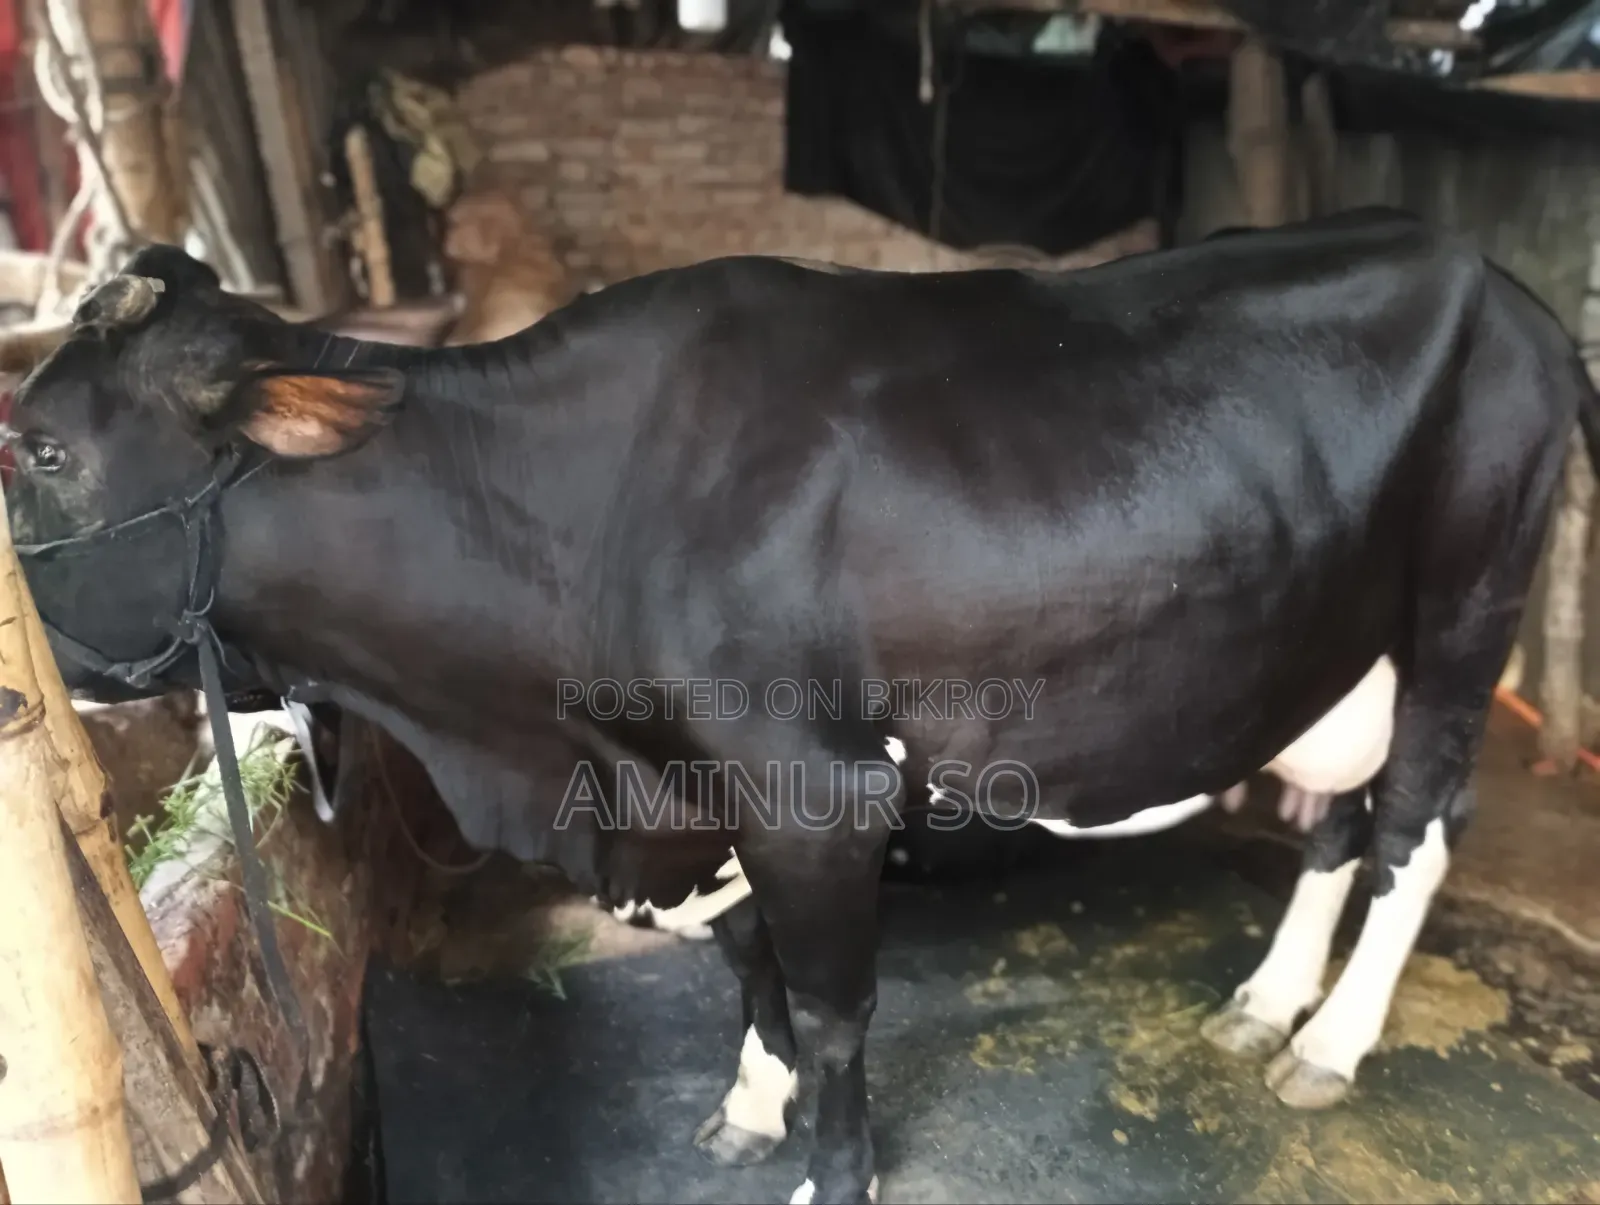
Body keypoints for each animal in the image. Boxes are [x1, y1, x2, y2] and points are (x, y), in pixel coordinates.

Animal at [2, 206, 1594, 1205]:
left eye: (39, 446)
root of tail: (1499, 283)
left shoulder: (813, 789)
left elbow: (833, 1008)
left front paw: (833, 1166)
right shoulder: (702, 791)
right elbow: (745, 959)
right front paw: (746, 1106)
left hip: (1466, 606)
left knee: (1418, 823)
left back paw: (1330, 1043)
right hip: (1336, 642)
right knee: (1335, 809)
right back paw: (1267, 1004)